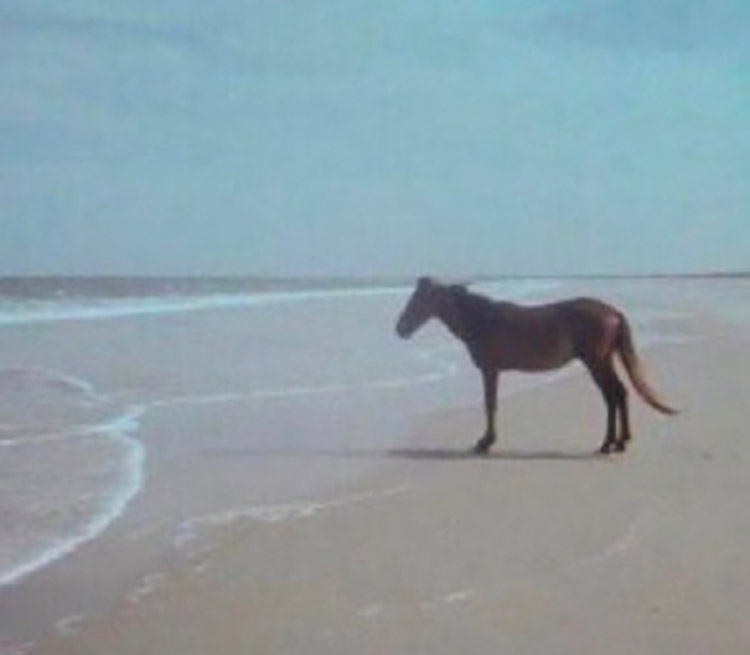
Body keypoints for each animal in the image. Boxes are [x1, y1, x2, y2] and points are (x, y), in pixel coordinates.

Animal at [395, 277, 677, 455]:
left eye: (418, 300)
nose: (400, 329)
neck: (482, 319)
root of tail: (613, 313)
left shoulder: (490, 369)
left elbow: (490, 404)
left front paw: (485, 443)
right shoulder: (492, 370)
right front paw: (486, 441)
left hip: (596, 361)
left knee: (612, 395)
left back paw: (608, 444)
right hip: (603, 360)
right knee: (619, 393)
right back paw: (620, 442)